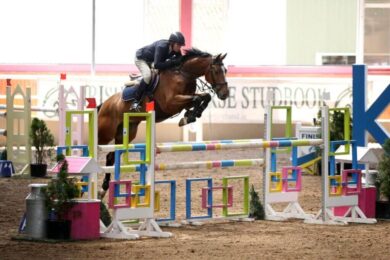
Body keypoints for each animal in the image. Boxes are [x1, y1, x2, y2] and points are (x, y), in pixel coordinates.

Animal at [97, 48, 230, 169]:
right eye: (216, 71)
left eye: (226, 70)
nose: (225, 94)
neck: (183, 74)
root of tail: (105, 104)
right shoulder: (170, 103)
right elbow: (198, 98)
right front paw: (188, 117)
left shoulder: (186, 101)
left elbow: (204, 97)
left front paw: (190, 116)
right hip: (106, 133)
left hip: (127, 132)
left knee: (111, 156)